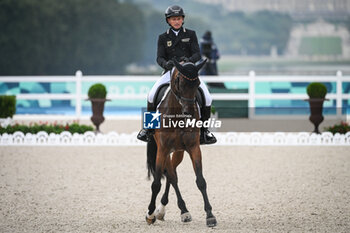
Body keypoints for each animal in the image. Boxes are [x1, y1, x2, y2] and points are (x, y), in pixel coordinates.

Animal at [144, 59, 216, 228]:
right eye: (180, 83)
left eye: (197, 84)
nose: (189, 112)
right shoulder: (162, 149)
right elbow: (156, 184)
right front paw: (150, 214)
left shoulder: (193, 148)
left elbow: (201, 181)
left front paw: (210, 215)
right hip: (164, 150)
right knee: (171, 175)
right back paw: (170, 211)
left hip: (178, 151)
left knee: (172, 175)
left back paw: (179, 211)